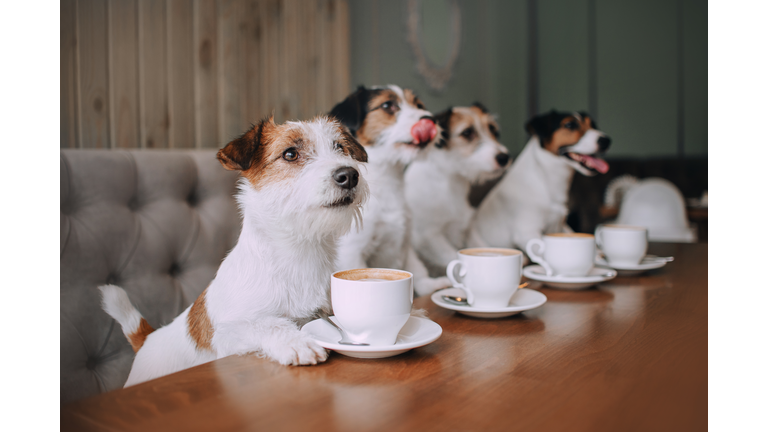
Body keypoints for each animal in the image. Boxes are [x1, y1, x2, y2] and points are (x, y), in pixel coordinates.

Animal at [98, 116, 368, 386]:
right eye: (290, 154)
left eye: (340, 147)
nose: (349, 175)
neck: (301, 251)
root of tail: (147, 339)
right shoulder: (226, 334)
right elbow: (265, 324)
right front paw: (296, 341)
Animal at [328, 86, 450, 298]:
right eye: (387, 105)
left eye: (419, 105)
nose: (431, 119)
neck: (387, 183)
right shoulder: (352, 252)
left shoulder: (405, 242)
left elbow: (417, 269)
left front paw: (429, 285)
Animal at [408, 103, 510, 276]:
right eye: (467, 132)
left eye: (493, 130)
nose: (504, 157)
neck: (450, 182)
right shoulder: (428, 237)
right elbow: (452, 258)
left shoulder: (467, 228)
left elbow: (481, 246)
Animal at [468, 109, 612, 253]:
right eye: (570, 125)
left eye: (593, 125)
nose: (606, 140)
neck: (546, 178)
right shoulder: (527, 233)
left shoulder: (561, 226)